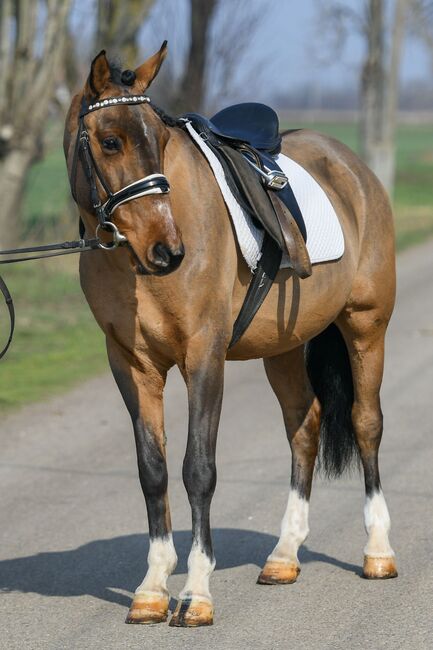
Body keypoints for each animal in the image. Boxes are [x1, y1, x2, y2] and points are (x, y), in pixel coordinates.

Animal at [62, 43, 396, 624]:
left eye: (160, 140)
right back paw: (284, 556)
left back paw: (378, 551)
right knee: (304, 426)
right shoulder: (131, 365)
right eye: (110, 141)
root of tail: (353, 168)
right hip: (283, 349)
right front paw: (152, 589)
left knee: (365, 423)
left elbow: (199, 469)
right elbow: (153, 470)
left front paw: (196, 593)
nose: (168, 252)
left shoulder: (204, 356)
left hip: (366, 326)